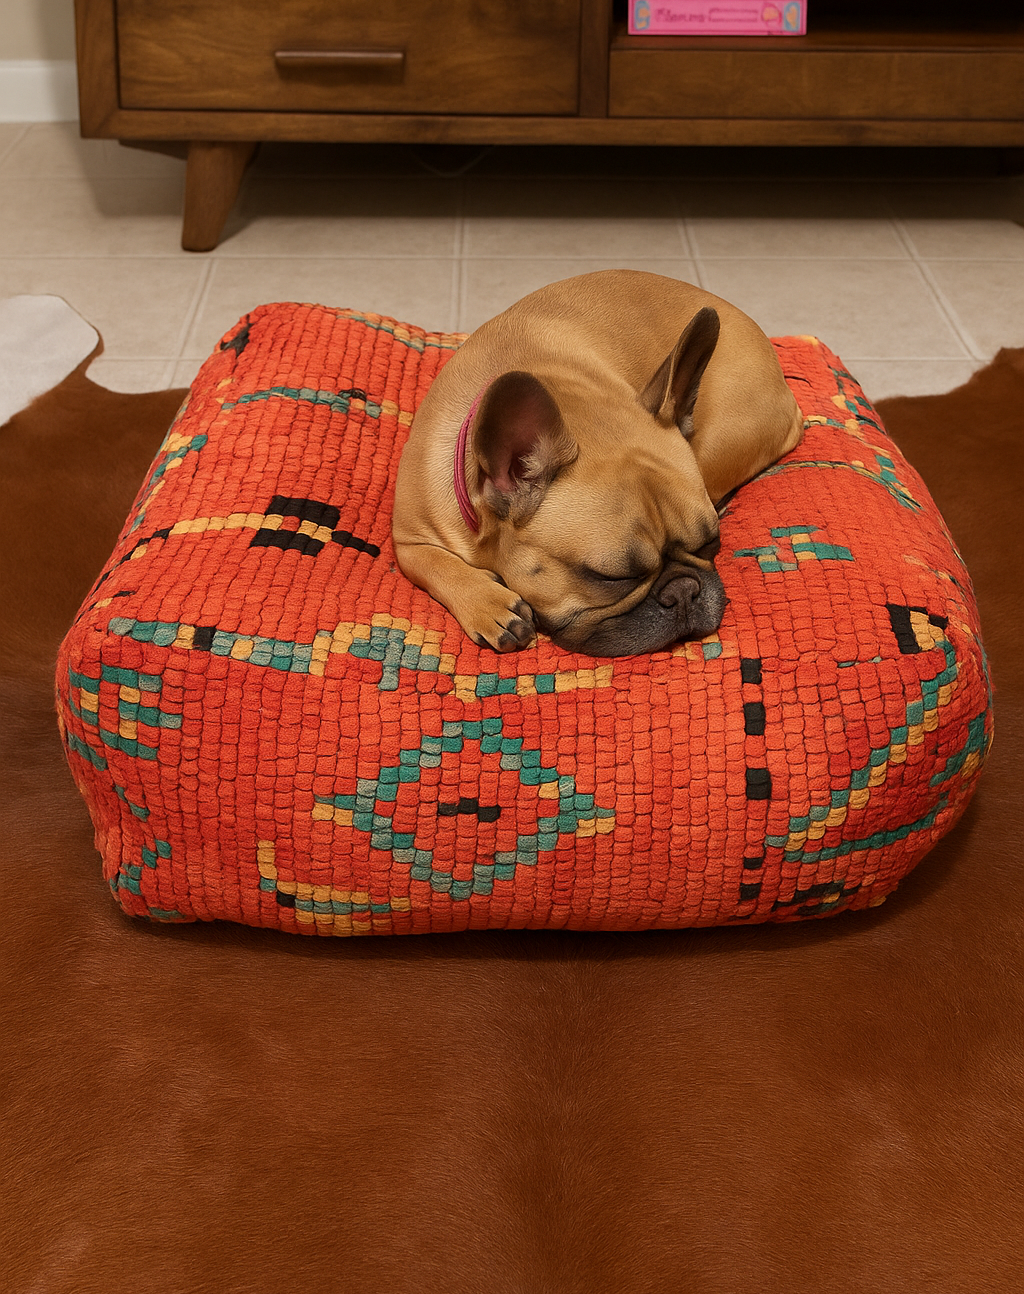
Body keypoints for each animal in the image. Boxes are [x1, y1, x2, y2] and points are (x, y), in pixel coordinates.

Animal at [392, 270, 803, 657]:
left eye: (711, 543)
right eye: (611, 578)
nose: (684, 591)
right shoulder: (406, 543)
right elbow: (433, 563)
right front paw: (487, 604)